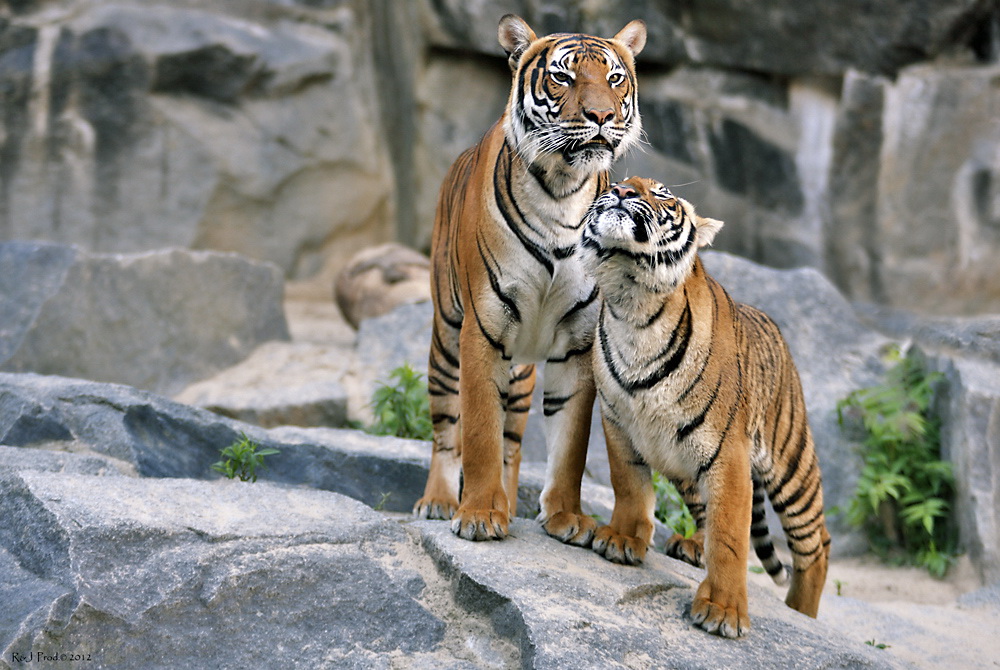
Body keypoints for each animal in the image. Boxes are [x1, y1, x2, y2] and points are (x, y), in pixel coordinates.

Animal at [412, 13, 648, 544]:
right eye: (563, 77)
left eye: (614, 78)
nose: (602, 116)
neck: (563, 190)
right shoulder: (484, 326)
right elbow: (479, 427)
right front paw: (478, 514)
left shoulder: (578, 340)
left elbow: (570, 440)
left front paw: (566, 516)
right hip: (446, 337)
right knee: (446, 426)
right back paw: (439, 501)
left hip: (520, 372)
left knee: (514, 443)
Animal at [580, 178, 828, 640]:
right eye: (621, 180)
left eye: (661, 193)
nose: (622, 191)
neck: (633, 302)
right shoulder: (619, 423)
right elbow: (629, 486)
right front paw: (622, 539)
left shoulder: (728, 455)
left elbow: (730, 536)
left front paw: (723, 611)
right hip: (685, 460)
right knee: (701, 509)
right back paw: (693, 545)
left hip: (792, 465)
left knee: (817, 543)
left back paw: (801, 611)